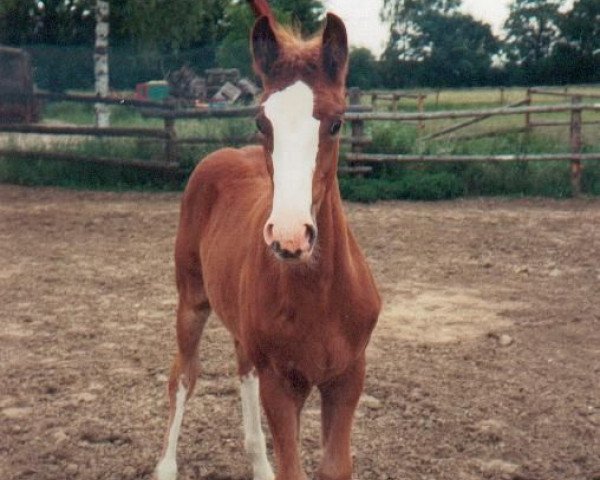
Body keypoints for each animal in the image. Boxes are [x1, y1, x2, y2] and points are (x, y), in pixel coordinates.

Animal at [155, 8, 380, 480]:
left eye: (337, 122)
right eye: (262, 122)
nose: (291, 236)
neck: (320, 296)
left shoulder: (348, 376)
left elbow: (334, 466)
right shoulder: (281, 382)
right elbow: (292, 467)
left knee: (242, 368)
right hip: (191, 301)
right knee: (183, 374)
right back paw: (165, 466)